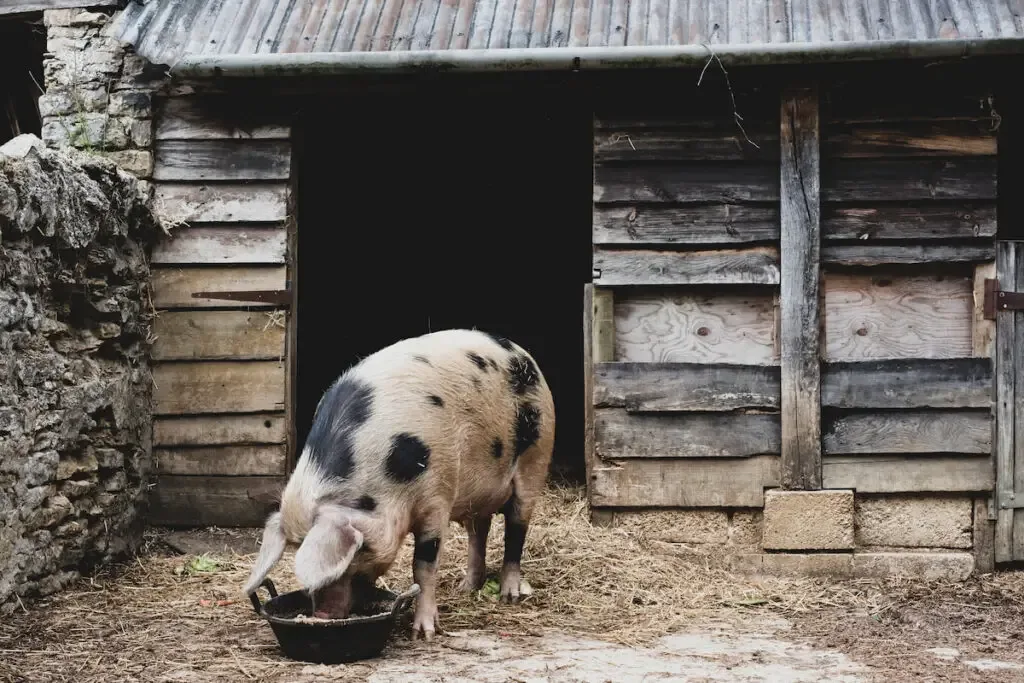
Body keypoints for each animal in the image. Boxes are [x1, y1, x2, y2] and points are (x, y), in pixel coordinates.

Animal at [240, 329, 557, 643]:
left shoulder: (437, 496)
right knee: (479, 530)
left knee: (516, 531)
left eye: (356, 551)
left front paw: (424, 634)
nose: (322, 615)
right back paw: (465, 587)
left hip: (536, 458)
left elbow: (423, 566)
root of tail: (521, 353)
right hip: (478, 494)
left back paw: (509, 595)